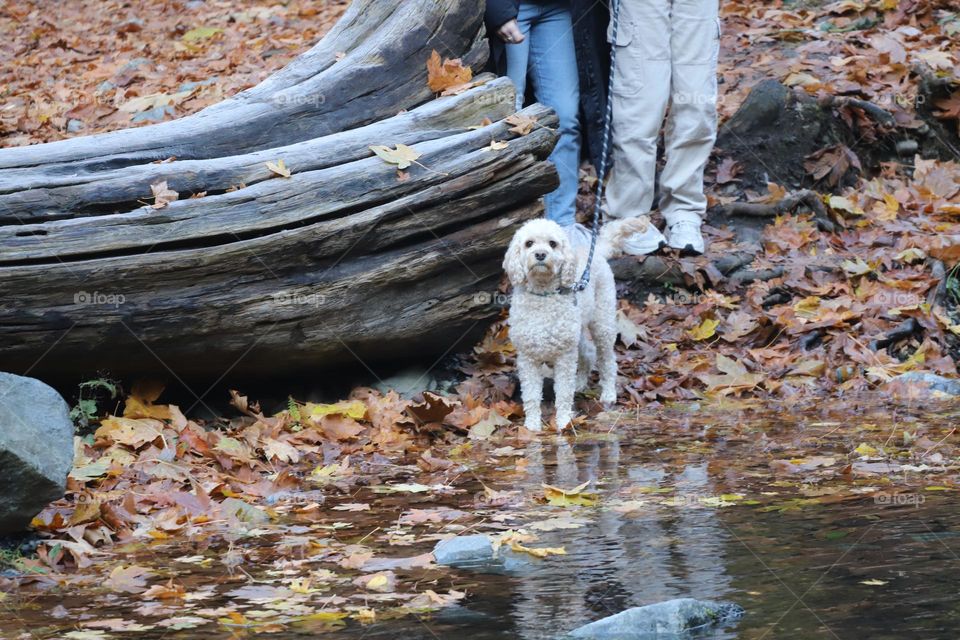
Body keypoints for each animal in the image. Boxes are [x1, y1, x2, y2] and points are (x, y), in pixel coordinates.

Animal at [502, 218, 644, 432]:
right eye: (529, 243)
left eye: (552, 243)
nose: (541, 254)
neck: (543, 296)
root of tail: (596, 250)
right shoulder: (528, 359)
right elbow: (531, 396)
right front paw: (532, 426)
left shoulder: (564, 357)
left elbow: (563, 393)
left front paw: (563, 422)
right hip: (577, 332)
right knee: (589, 352)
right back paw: (581, 382)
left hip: (602, 323)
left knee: (607, 360)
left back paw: (608, 394)